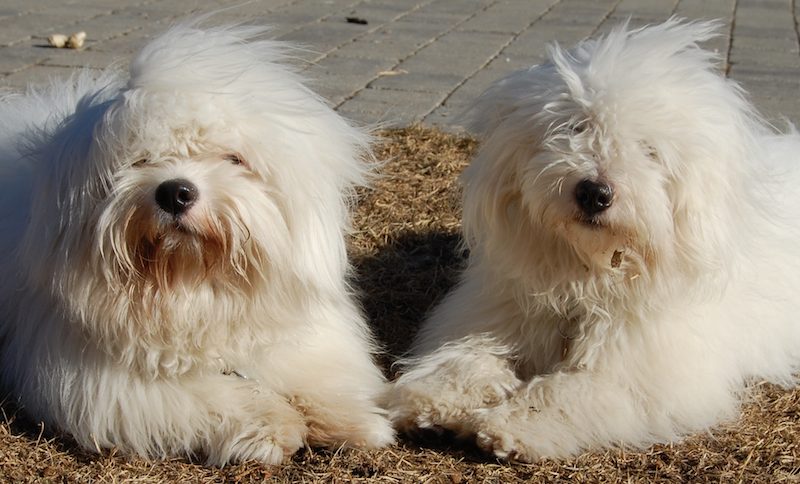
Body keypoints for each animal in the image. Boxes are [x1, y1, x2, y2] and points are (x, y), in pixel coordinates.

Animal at [0, 23, 394, 466]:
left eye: (233, 158)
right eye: (140, 160)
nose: (175, 192)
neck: (192, 283)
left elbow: (319, 373)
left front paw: (355, 419)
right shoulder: (104, 383)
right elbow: (207, 398)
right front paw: (273, 425)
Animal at [388, 19, 800, 462]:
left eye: (649, 150)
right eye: (575, 126)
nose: (594, 193)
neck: (586, 275)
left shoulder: (643, 374)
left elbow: (567, 391)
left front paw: (508, 425)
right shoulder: (496, 314)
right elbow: (465, 359)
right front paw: (429, 399)